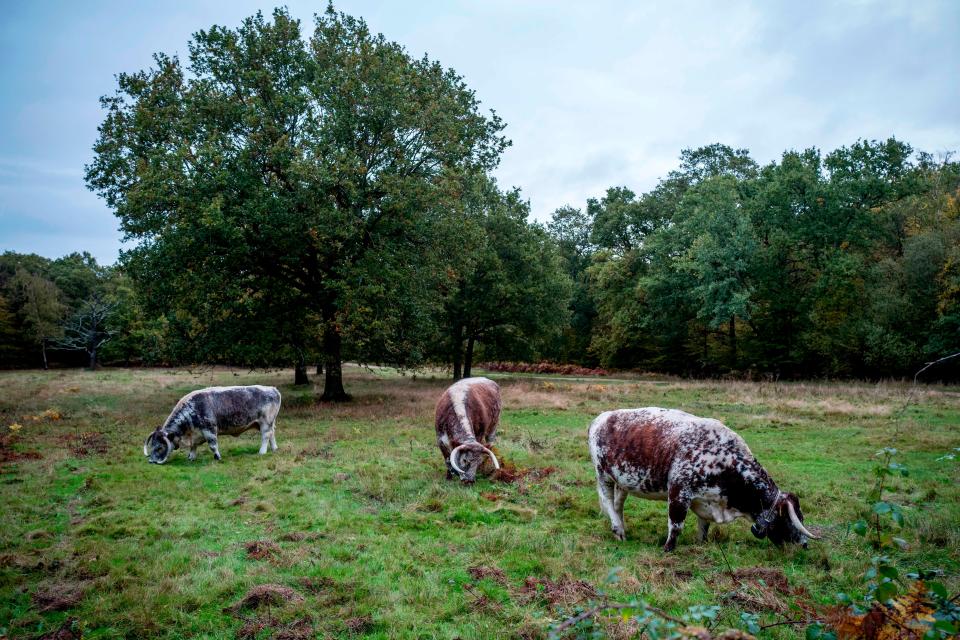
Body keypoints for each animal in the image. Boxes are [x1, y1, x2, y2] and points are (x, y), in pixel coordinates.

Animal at [143, 384, 282, 464]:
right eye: (152, 445)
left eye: (160, 447)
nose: (151, 461)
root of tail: (272, 388)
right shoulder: (195, 434)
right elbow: (193, 447)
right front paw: (191, 457)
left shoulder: (209, 430)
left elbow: (213, 446)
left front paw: (217, 457)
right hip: (268, 423)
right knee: (272, 434)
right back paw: (274, 449)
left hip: (265, 422)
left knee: (266, 435)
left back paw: (262, 452)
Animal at [584, 410, 816, 552]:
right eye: (790, 519)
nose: (804, 545)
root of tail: (602, 417)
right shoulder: (679, 492)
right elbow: (676, 525)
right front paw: (668, 549)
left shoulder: (706, 499)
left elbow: (704, 527)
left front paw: (701, 544)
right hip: (603, 474)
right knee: (607, 501)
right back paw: (618, 529)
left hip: (622, 480)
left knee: (618, 505)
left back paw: (621, 529)